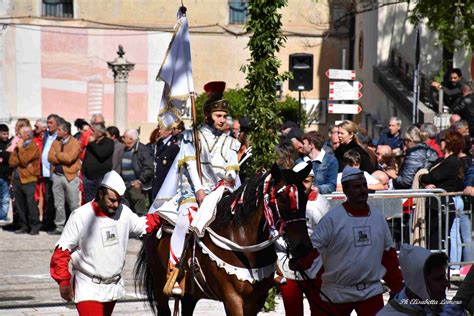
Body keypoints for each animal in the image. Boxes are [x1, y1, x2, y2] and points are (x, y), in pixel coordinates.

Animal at [134, 164, 314, 314]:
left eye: (305, 198)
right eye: (281, 199)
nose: (303, 247)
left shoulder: (256, 299)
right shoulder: (232, 298)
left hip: (191, 293)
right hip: (159, 284)